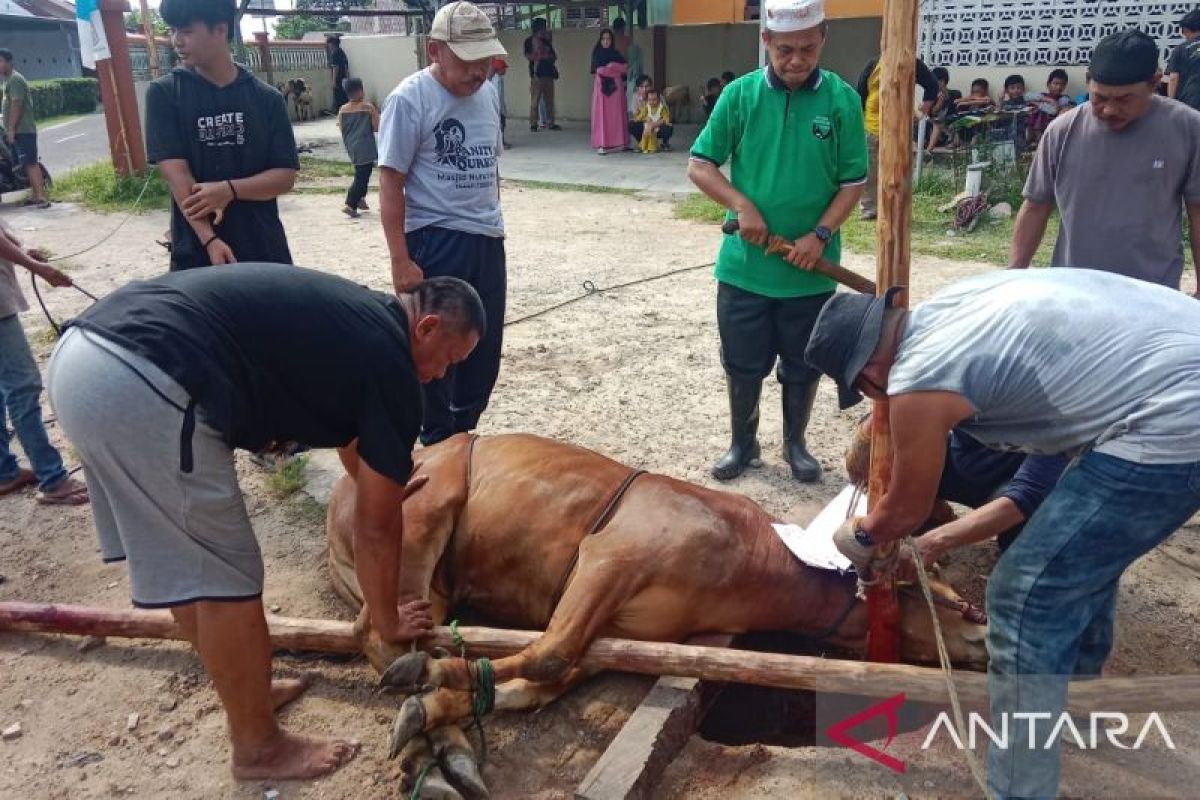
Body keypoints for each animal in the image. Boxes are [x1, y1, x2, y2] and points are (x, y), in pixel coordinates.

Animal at [326, 434, 984, 791]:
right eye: (950, 600)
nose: (987, 639)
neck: (756, 560)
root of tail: (341, 494)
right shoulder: (610, 558)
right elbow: (549, 654)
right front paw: (437, 684)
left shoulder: (632, 631)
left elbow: (545, 678)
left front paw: (448, 703)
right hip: (417, 523)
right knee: (384, 636)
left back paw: (445, 755)